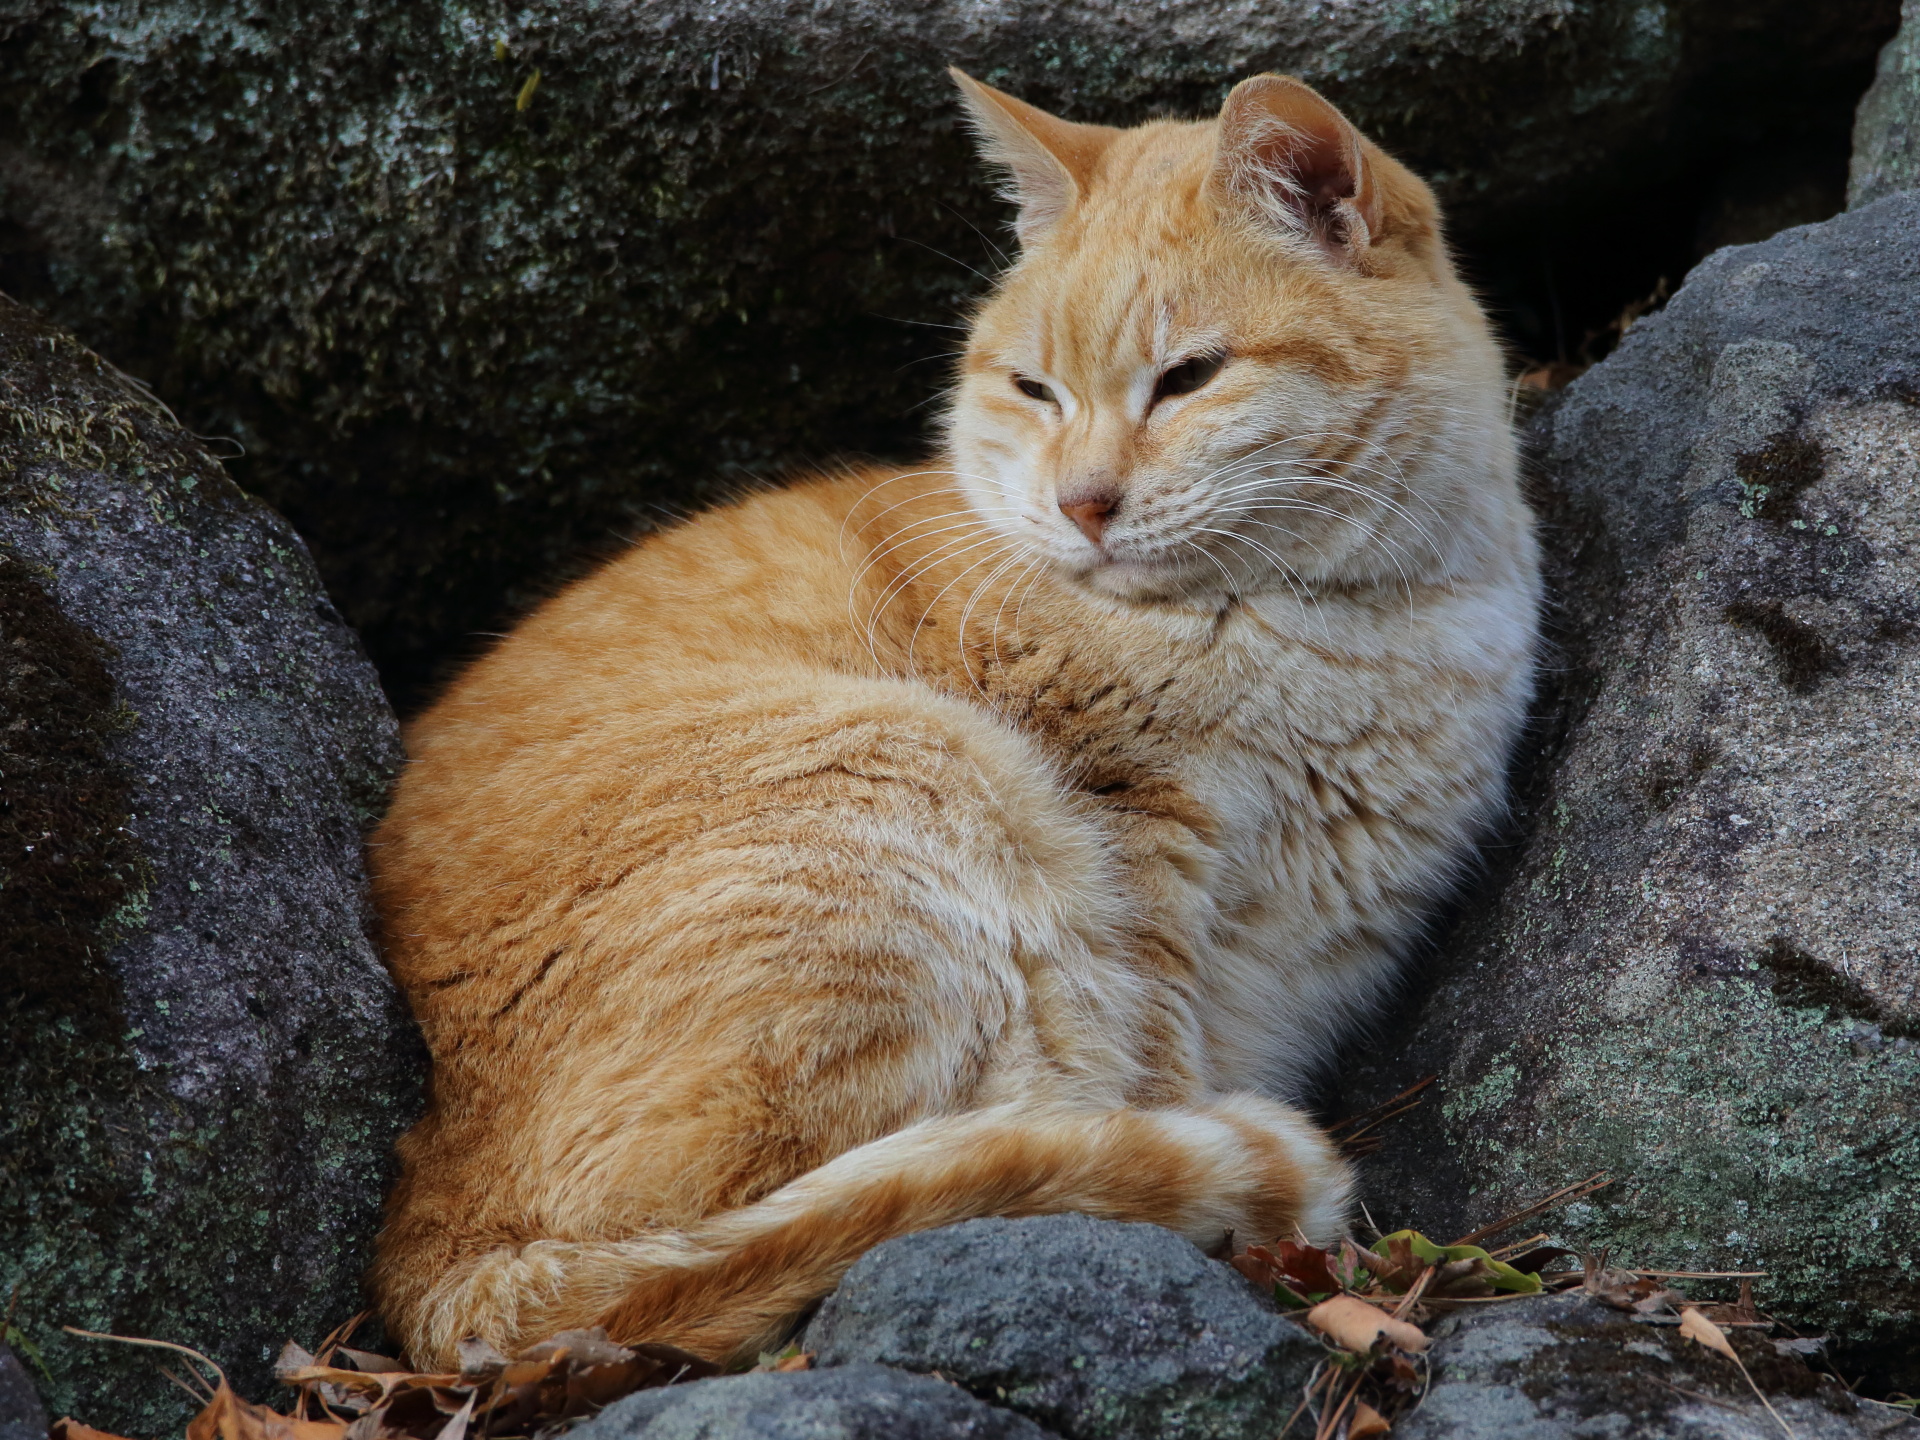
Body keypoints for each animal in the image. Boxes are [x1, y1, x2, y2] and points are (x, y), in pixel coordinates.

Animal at [366, 70, 1543, 1374]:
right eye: (1036, 391)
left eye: (1189, 377)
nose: (1083, 503)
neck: (1331, 628)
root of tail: (431, 1241)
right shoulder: (1137, 858)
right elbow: (1152, 1053)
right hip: (916, 785)